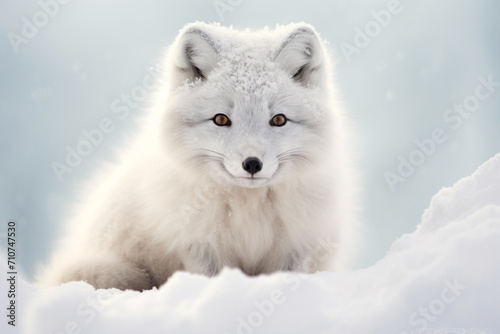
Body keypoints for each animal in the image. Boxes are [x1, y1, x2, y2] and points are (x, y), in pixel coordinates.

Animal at [39, 22, 360, 290]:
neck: (248, 208)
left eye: (279, 120)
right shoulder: (198, 246)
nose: (252, 164)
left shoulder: (298, 245)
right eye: (220, 119)